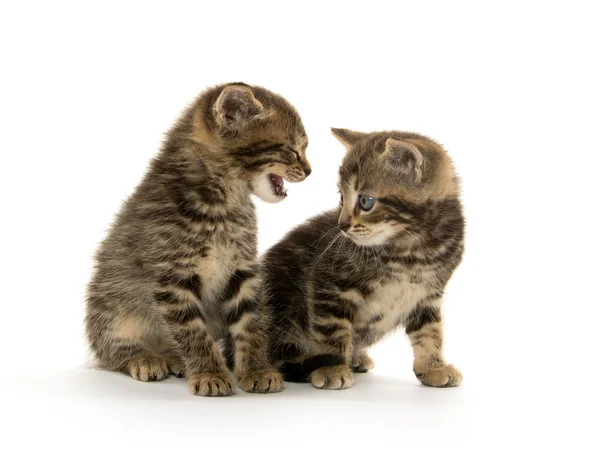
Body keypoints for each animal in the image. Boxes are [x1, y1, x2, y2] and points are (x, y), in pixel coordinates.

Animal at [86, 82, 312, 394]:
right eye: (291, 150)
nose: (310, 170)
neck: (223, 202)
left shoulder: (242, 269)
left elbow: (251, 322)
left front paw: (256, 370)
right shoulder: (172, 277)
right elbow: (192, 332)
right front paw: (209, 374)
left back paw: (175, 359)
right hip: (112, 304)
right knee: (112, 350)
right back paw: (145, 358)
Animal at [264, 128, 466, 388]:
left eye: (366, 201)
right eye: (341, 197)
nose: (341, 226)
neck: (412, 251)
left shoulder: (427, 296)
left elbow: (430, 332)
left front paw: (433, 367)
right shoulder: (328, 284)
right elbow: (332, 330)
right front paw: (331, 369)